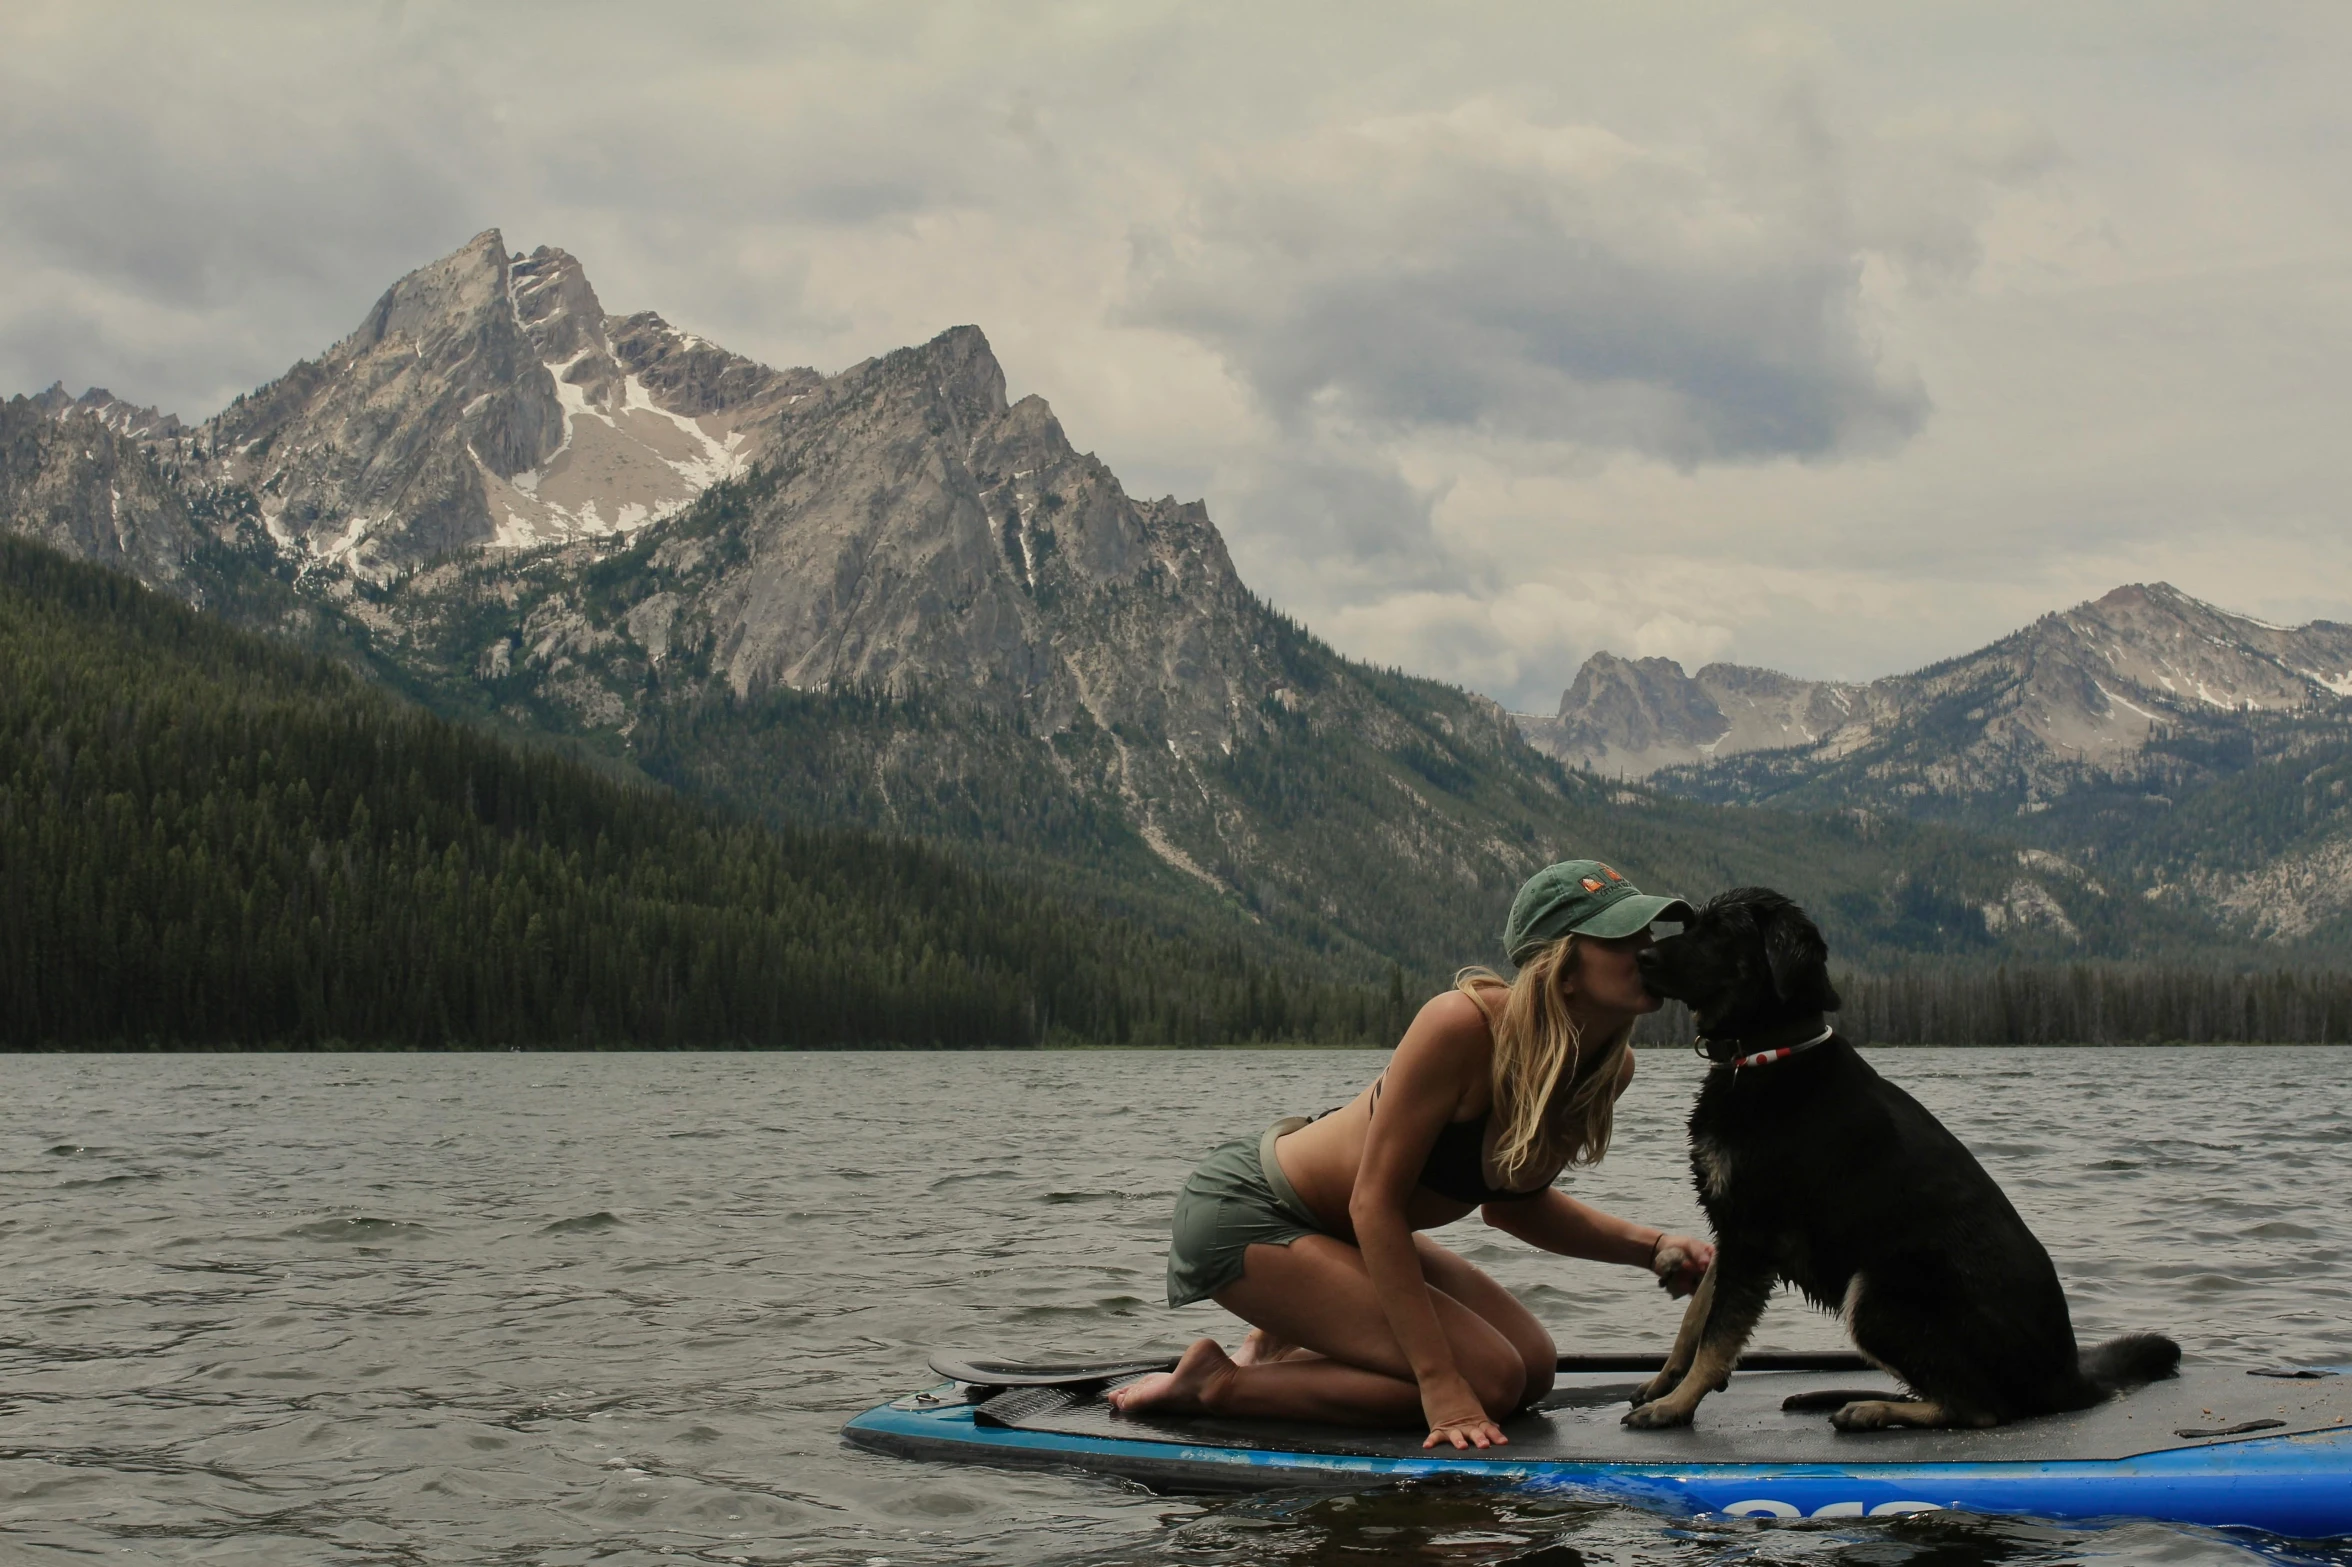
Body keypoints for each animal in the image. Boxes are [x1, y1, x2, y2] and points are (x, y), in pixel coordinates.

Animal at [1618, 884, 2182, 1421]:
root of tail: (2071, 1380)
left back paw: (1874, 1409)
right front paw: (1664, 1382)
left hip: (1874, 1294)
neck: (1767, 1052)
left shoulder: (1752, 1235)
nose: (1640, 958)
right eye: (1690, 924)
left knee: (1980, 1409)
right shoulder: (1731, 1228)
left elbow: (1718, 1338)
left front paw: (1675, 1405)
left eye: (1720, 931)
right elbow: (1695, 1319)